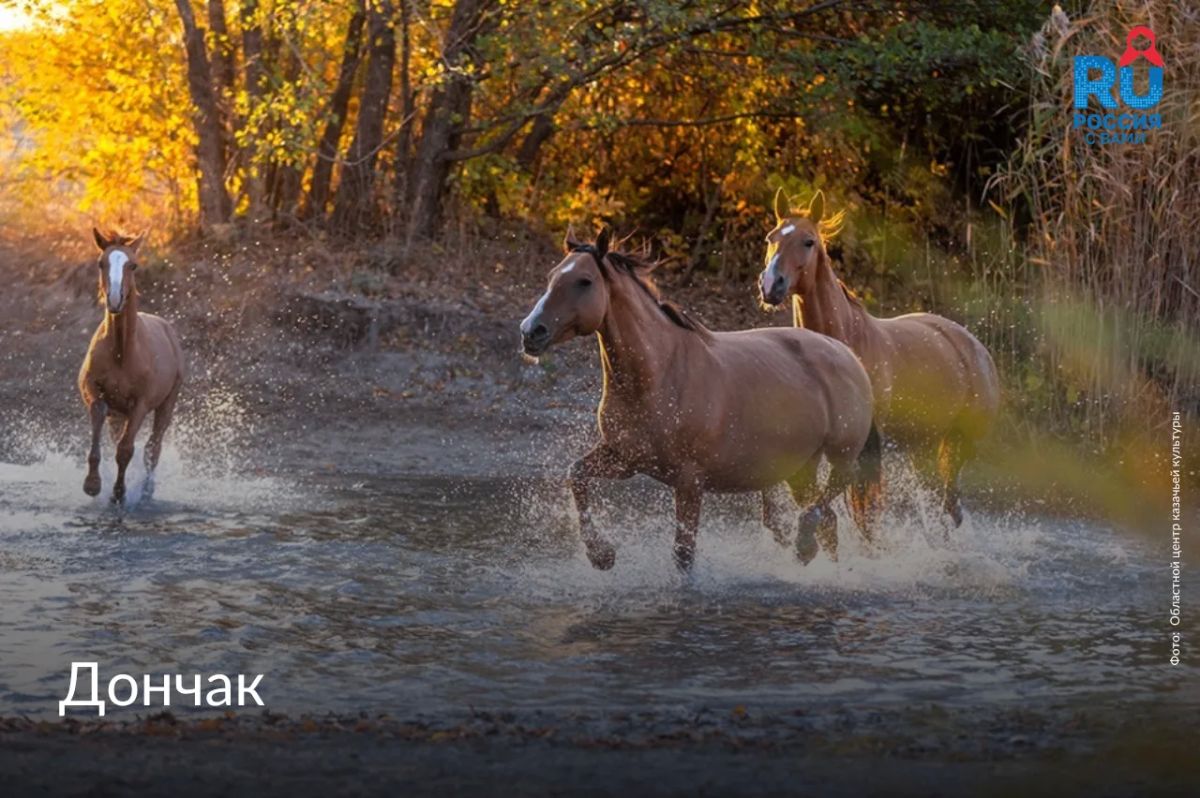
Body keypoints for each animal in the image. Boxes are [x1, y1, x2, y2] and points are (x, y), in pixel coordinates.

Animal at [78, 228, 185, 504]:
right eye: (100, 263)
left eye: (133, 265)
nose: (115, 300)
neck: (122, 353)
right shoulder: (95, 392)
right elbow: (98, 420)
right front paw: (93, 484)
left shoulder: (141, 405)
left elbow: (126, 450)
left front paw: (119, 494)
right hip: (119, 414)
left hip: (166, 405)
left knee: (153, 449)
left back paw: (146, 492)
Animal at [520, 229, 880, 571]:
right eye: (552, 276)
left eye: (584, 281)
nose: (530, 332)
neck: (658, 375)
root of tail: (847, 355)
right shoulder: (625, 459)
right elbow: (576, 475)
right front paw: (602, 555)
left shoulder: (689, 481)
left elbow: (684, 554)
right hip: (800, 467)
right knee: (826, 519)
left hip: (840, 455)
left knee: (831, 497)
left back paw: (805, 546)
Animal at [759, 190, 1000, 526]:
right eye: (771, 238)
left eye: (808, 242)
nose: (771, 285)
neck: (848, 342)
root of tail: (976, 348)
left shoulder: (867, 445)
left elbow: (865, 512)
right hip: (924, 445)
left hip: (959, 444)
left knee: (951, 506)